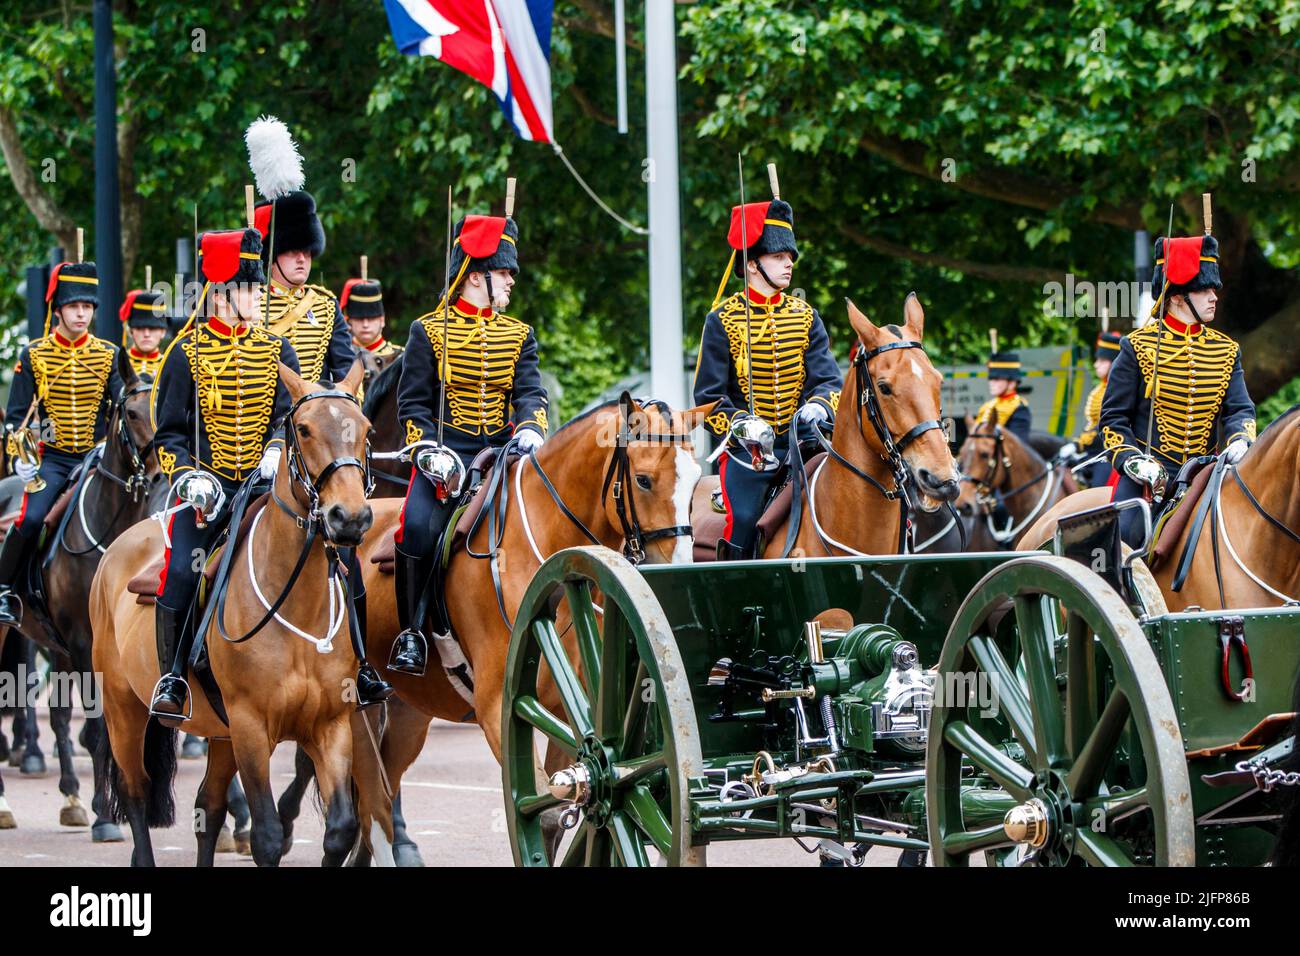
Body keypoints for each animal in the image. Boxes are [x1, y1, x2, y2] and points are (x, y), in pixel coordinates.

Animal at [89, 361, 374, 868]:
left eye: (364, 429)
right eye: (303, 429)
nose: (351, 518)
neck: (298, 605)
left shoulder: (331, 725)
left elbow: (341, 829)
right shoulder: (250, 726)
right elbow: (266, 835)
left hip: (218, 733)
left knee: (209, 806)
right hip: (125, 708)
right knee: (136, 790)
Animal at [345, 392, 712, 863]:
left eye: (695, 480)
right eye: (644, 480)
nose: (676, 568)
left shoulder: (572, 711)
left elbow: (560, 812)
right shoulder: (497, 707)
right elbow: (544, 806)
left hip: (410, 712)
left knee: (380, 794)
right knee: (369, 800)